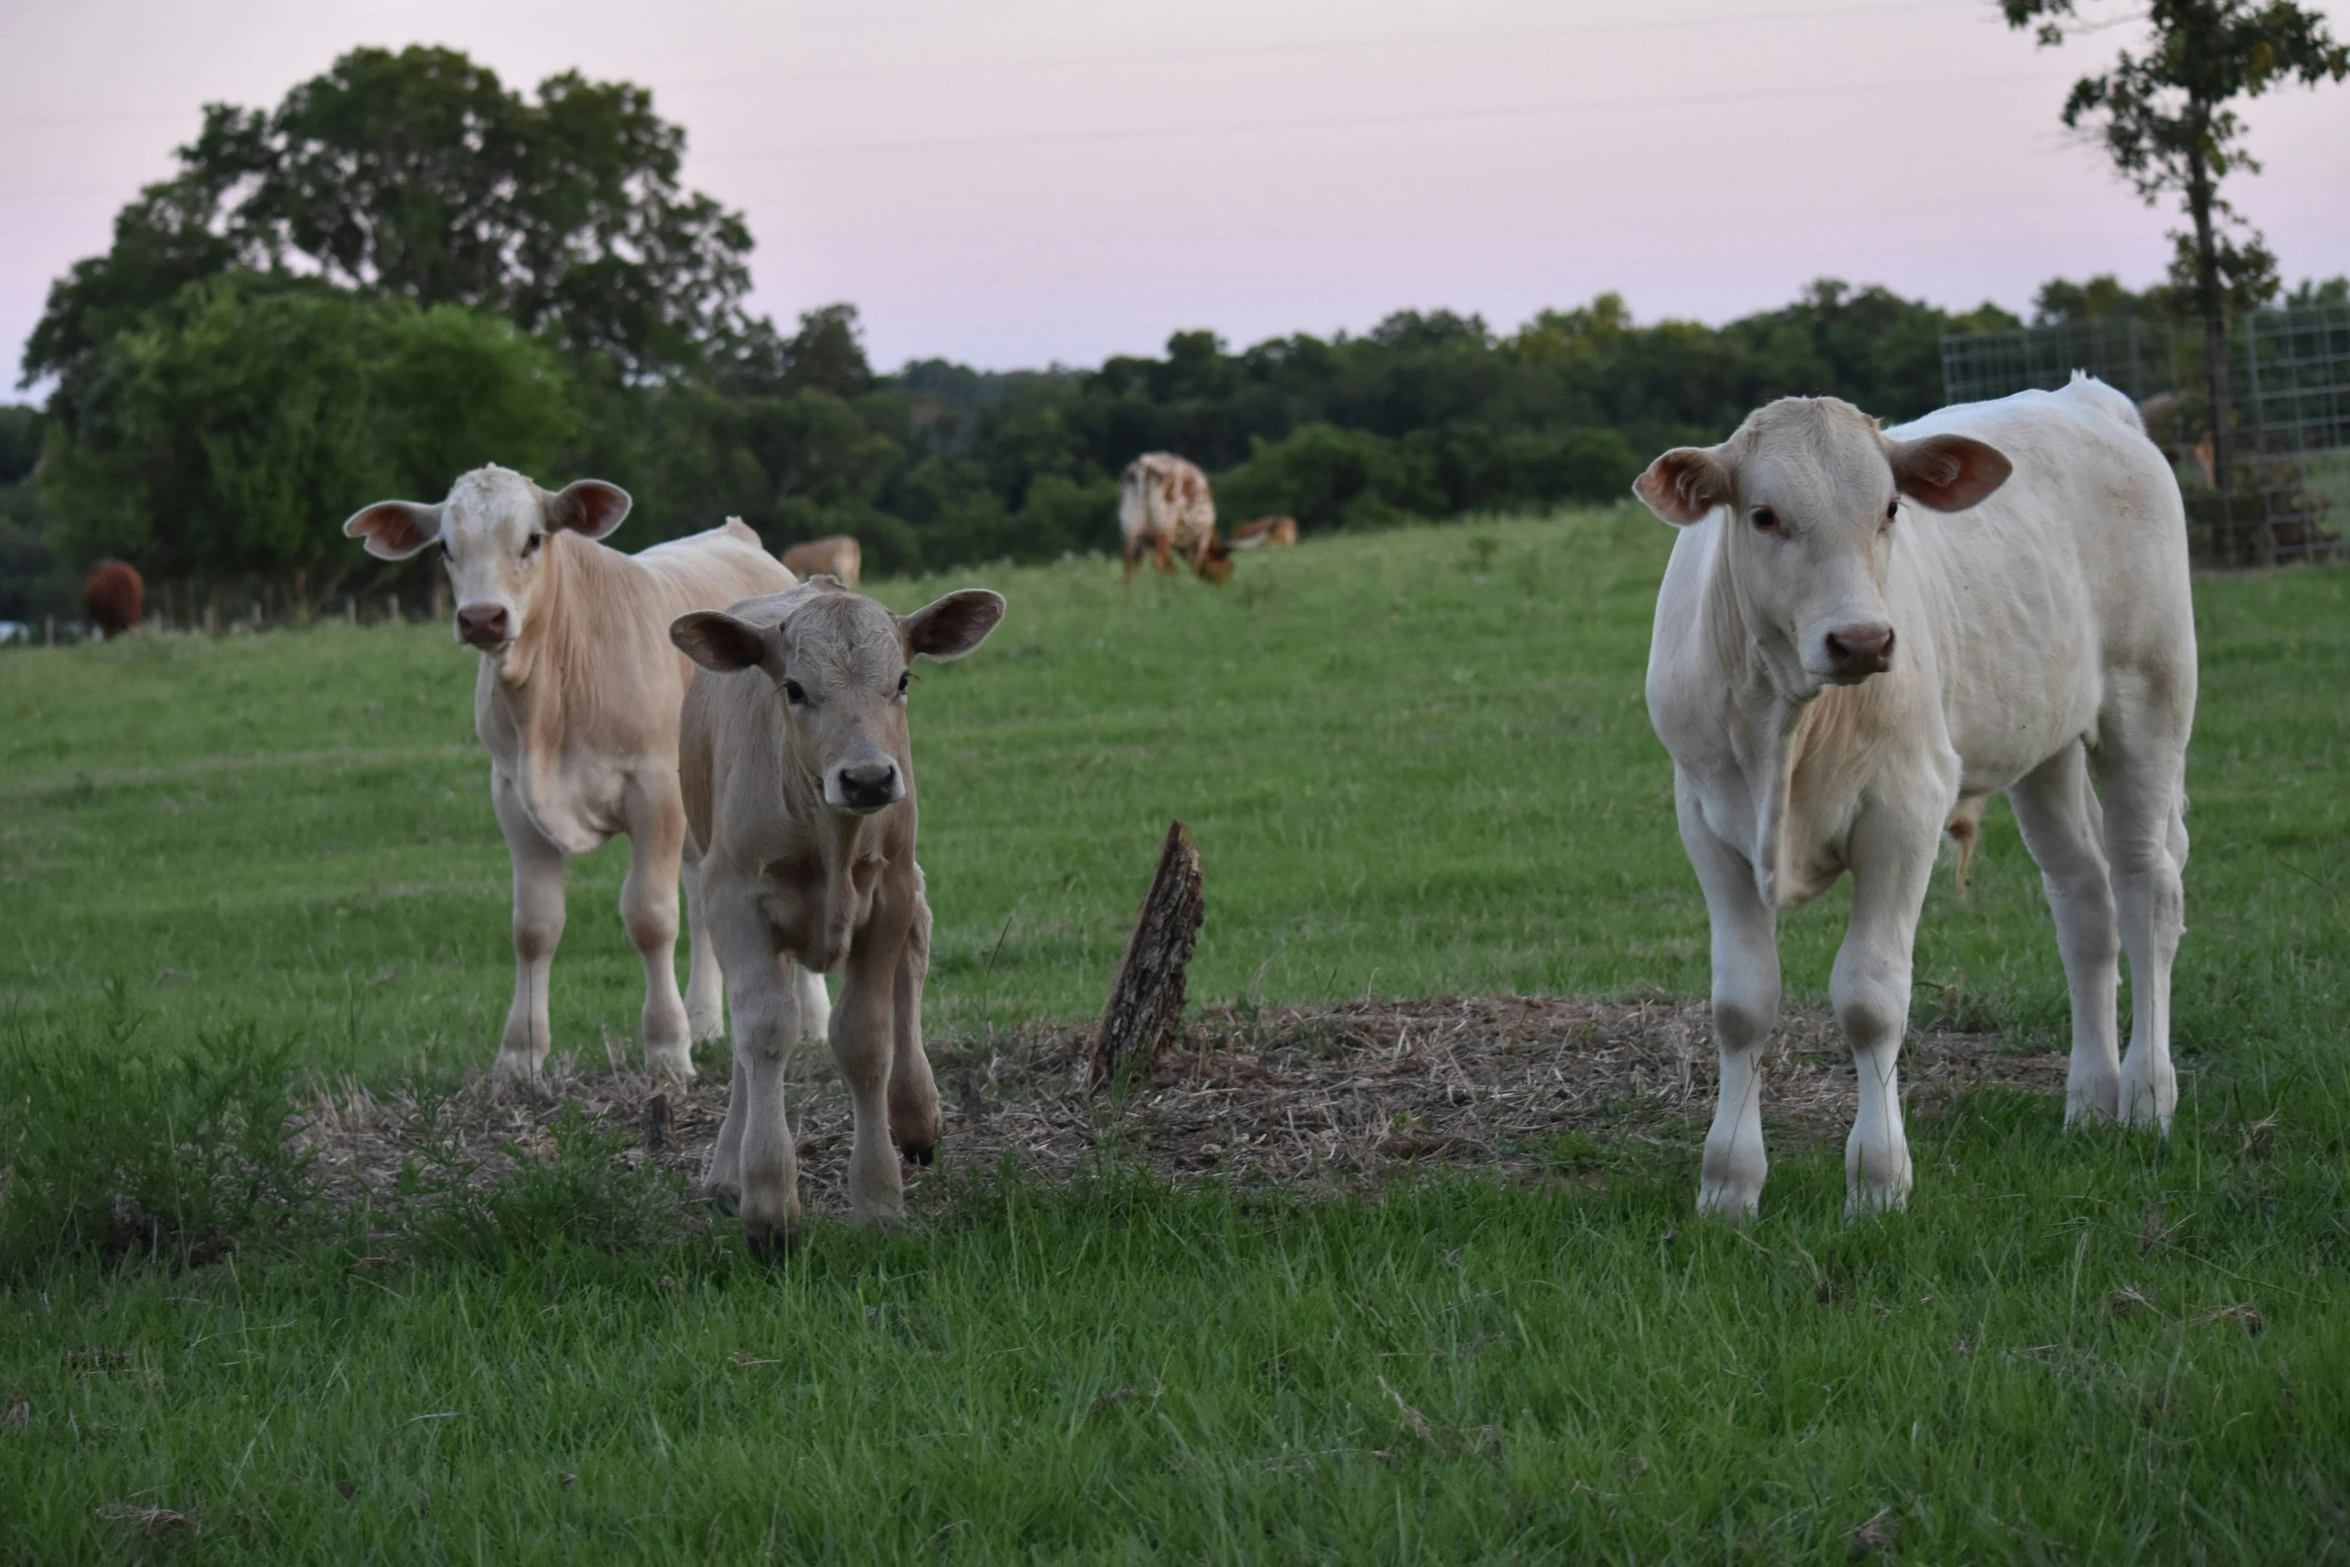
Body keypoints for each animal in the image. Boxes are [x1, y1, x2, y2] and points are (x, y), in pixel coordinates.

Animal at [667, 582, 1005, 1259]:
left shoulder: (890, 892)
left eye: (901, 679)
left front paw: (878, 1201)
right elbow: (764, 1031)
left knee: (916, 953)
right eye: (794, 688)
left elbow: (864, 1037)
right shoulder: (733, 897)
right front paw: (768, 1202)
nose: (868, 777)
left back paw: (915, 1112)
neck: (830, 835)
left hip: (905, 879)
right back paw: (728, 1171)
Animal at [1118, 455, 1231, 584]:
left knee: (1129, 562)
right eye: (1229, 567)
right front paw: (1192, 582)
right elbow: (1197, 562)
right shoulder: (1204, 534)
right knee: (1159, 559)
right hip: (1165, 525)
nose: (1224, 584)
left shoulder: (1147, 541)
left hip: (1130, 526)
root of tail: (1144, 462)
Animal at [1635, 380, 2199, 1221]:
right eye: (1764, 514)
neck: (1787, 717)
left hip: (2149, 702)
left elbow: (1871, 998)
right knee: (2083, 902)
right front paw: (1729, 1183)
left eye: (1890, 507)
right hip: (2046, 744)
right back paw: (2089, 1101)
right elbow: (1742, 1004)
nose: (1863, 640)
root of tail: (2086, 397)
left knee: (2146, 890)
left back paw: (2146, 1097)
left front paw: (1878, 1181)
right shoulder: (1706, 818)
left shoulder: (1905, 809)